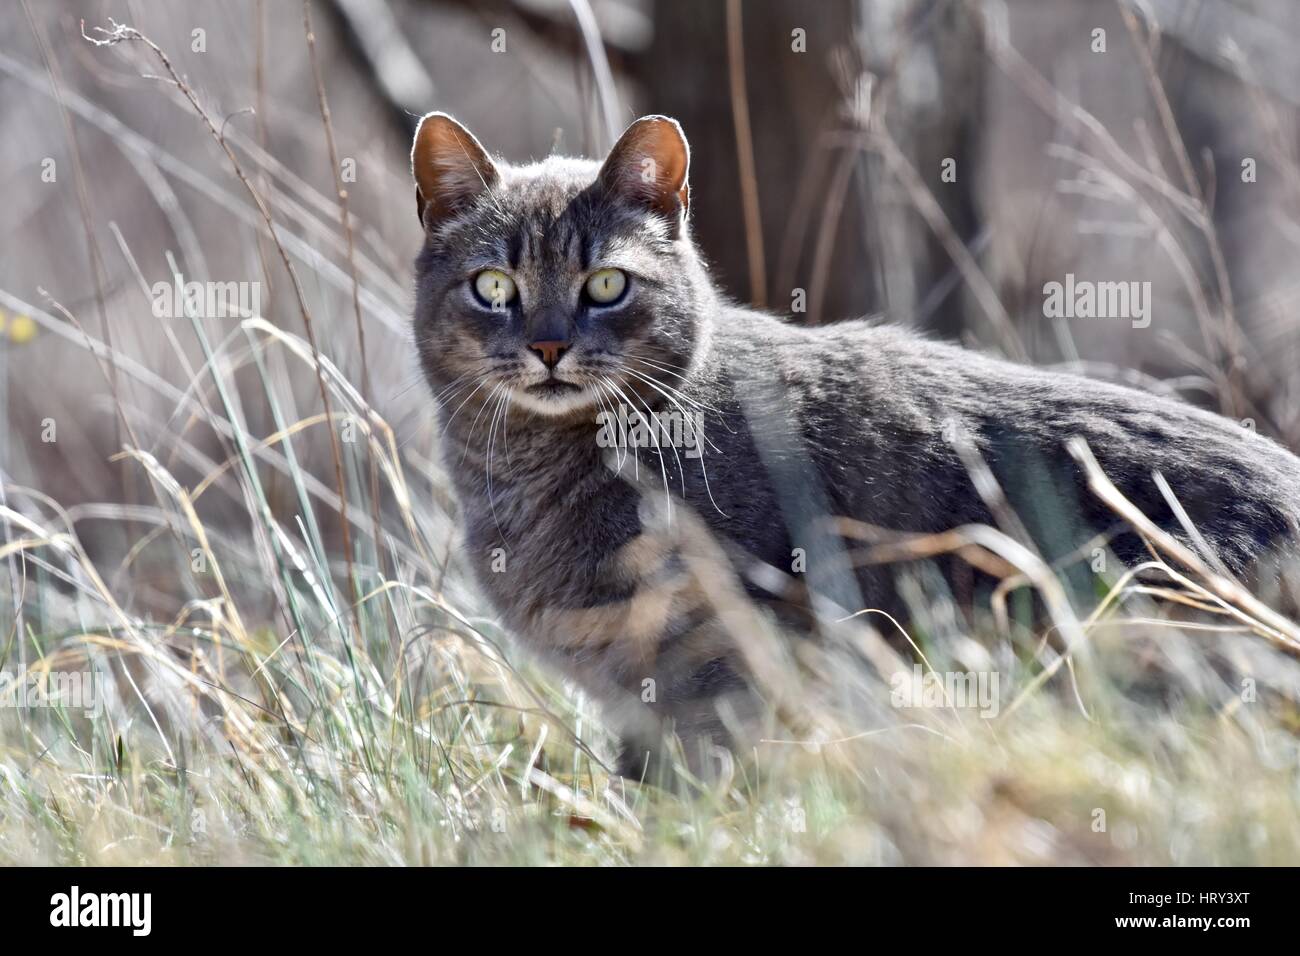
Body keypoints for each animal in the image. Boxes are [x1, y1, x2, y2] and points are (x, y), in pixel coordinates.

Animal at [410, 111, 1300, 780]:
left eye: (605, 285)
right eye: (494, 286)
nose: (548, 346)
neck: (531, 468)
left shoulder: (716, 675)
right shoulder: (642, 698)